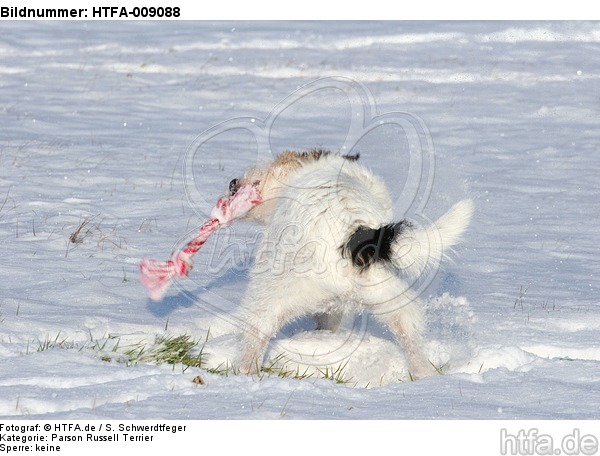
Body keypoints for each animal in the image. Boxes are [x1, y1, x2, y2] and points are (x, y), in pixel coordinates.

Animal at [226, 150, 474, 378]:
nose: (232, 182)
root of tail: (357, 237)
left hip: (273, 291)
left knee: (258, 328)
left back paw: (245, 370)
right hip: (389, 294)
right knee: (407, 328)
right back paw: (423, 373)